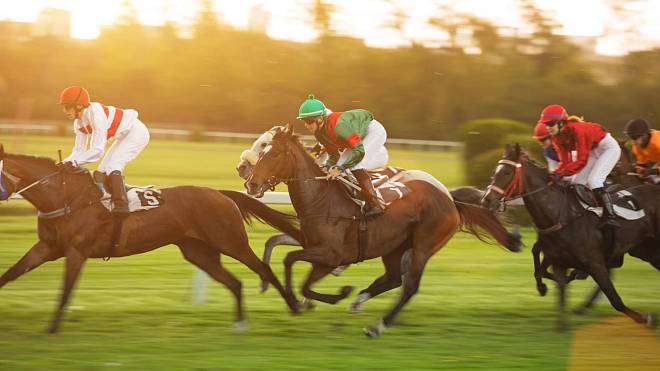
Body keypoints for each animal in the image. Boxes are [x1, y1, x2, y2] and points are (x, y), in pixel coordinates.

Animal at [0, 145, 302, 334]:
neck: (66, 197)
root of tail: (220, 193)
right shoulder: (47, 247)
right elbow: (11, 273)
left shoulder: (77, 251)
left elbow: (65, 291)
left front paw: (52, 328)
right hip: (199, 252)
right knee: (234, 282)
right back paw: (240, 323)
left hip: (231, 242)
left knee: (262, 269)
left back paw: (294, 304)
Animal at [242, 126, 520, 338]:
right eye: (263, 150)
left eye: (274, 152)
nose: (250, 182)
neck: (322, 200)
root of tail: (450, 199)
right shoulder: (317, 252)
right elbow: (289, 261)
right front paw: (304, 299)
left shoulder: (330, 255)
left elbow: (296, 268)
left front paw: (330, 295)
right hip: (394, 247)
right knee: (394, 278)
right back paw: (360, 300)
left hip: (423, 245)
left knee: (409, 286)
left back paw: (377, 325)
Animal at [480, 143, 660, 332]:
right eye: (494, 172)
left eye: (507, 172)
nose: (486, 200)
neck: (563, 215)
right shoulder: (559, 262)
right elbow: (560, 294)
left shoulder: (595, 263)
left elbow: (615, 299)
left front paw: (646, 318)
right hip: (647, 251)